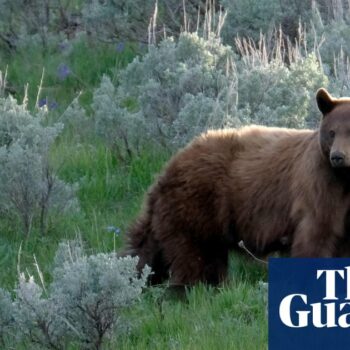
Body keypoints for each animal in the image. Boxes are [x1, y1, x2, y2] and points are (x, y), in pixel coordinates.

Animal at [125, 87, 350, 284]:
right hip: (197, 207)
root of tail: (169, 168)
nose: (337, 157)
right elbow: (316, 236)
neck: (347, 180)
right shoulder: (319, 186)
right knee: (195, 260)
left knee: (149, 250)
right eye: (332, 132)